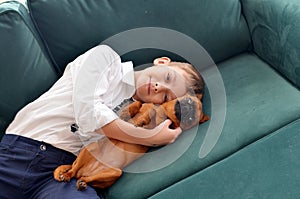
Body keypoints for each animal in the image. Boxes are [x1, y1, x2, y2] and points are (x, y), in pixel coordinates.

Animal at [53, 93, 209, 190]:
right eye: (188, 100)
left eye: (191, 120)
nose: (189, 109)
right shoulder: (144, 108)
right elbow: (139, 104)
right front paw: (131, 113)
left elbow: (151, 116)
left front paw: (145, 119)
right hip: (88, 150)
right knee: (73, 171)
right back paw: (67, 175)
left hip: (115, 173)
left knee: (82, 178)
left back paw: (81, 183)